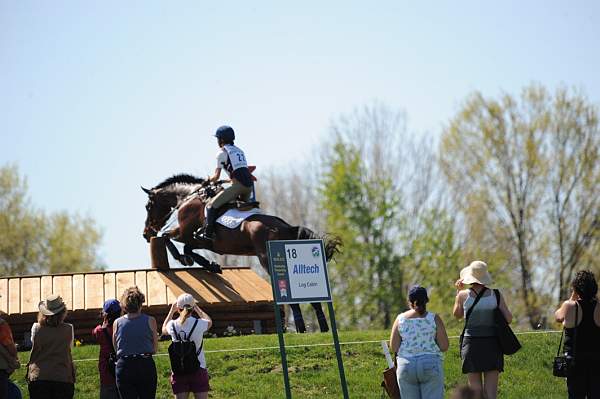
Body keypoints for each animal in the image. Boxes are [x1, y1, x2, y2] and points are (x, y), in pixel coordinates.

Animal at [138, 175, 340, 334]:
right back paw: (322, 328)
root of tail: (286, 227)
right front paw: (212, 266)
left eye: (148, 206)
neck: (189, 197)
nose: (146, 234)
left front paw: (185, 259)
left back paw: (301, 328)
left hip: (266, 259)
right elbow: (186, 247)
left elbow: (168, 237)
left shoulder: (186, 232)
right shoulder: (201, 241)